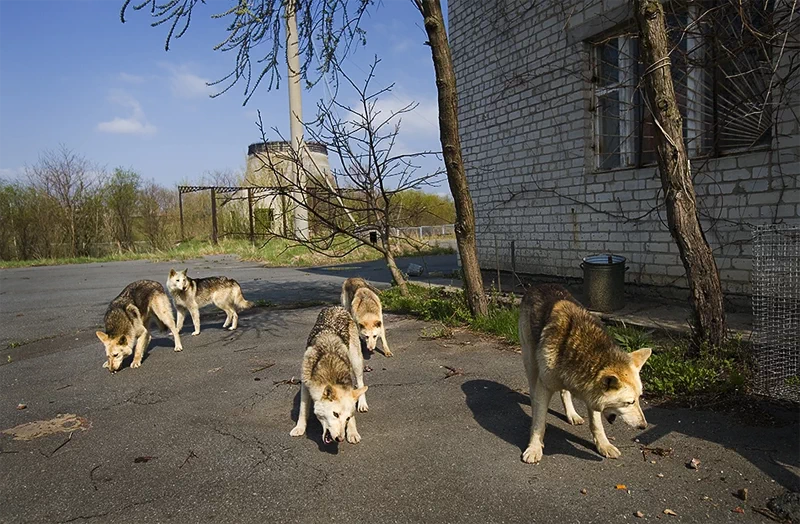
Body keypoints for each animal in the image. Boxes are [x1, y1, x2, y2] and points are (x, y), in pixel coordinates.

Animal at [290, 304, 368, 444]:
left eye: (347, 418)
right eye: (335, 414)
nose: (340, 439)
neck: (330, 370)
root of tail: (337, 306)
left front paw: (352, 432)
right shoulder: (305, 385)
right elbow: (302, 410)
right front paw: (299, 428)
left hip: (356, 362)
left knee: (360, 383)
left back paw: (363, 404)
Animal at [520, 284, 648, 464]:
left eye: (639, 398)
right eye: (629, 402)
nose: (644, 426)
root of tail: (540, 285)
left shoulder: (591, 395)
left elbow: (596, 425)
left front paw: (603, 445)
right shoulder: (544, 386)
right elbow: (538, 424)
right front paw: (534, 447)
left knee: (564, 392)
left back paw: (572, 414)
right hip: (531, 362)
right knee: (533, 393)